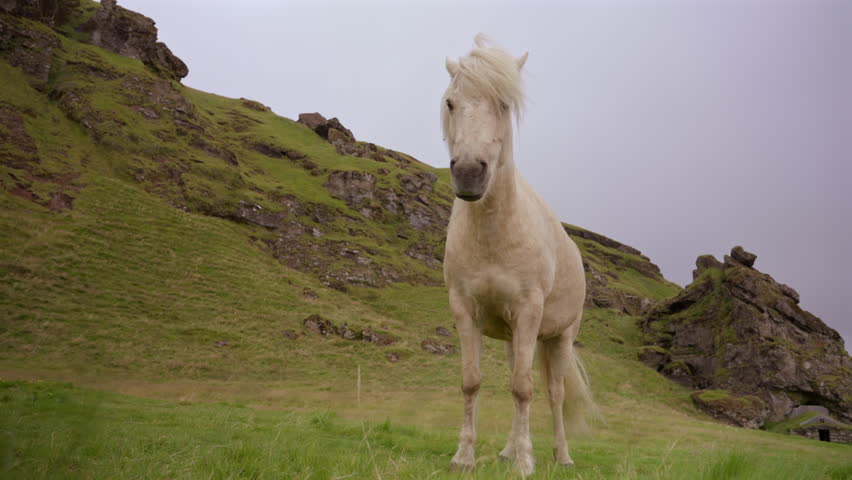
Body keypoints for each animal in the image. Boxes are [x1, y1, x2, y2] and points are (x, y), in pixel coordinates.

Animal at [441, 34, 597, 476]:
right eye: (451, 103)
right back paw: (508, 450)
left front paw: (527, 463)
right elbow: (472, 381)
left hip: (560, 337)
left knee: (554, 393)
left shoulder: (529, 311)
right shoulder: (464, 310)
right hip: (515, 337)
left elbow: (525, 389)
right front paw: (465, 456)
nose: (469, 173)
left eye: (504, 104)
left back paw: (561, 455)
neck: (495, 233)